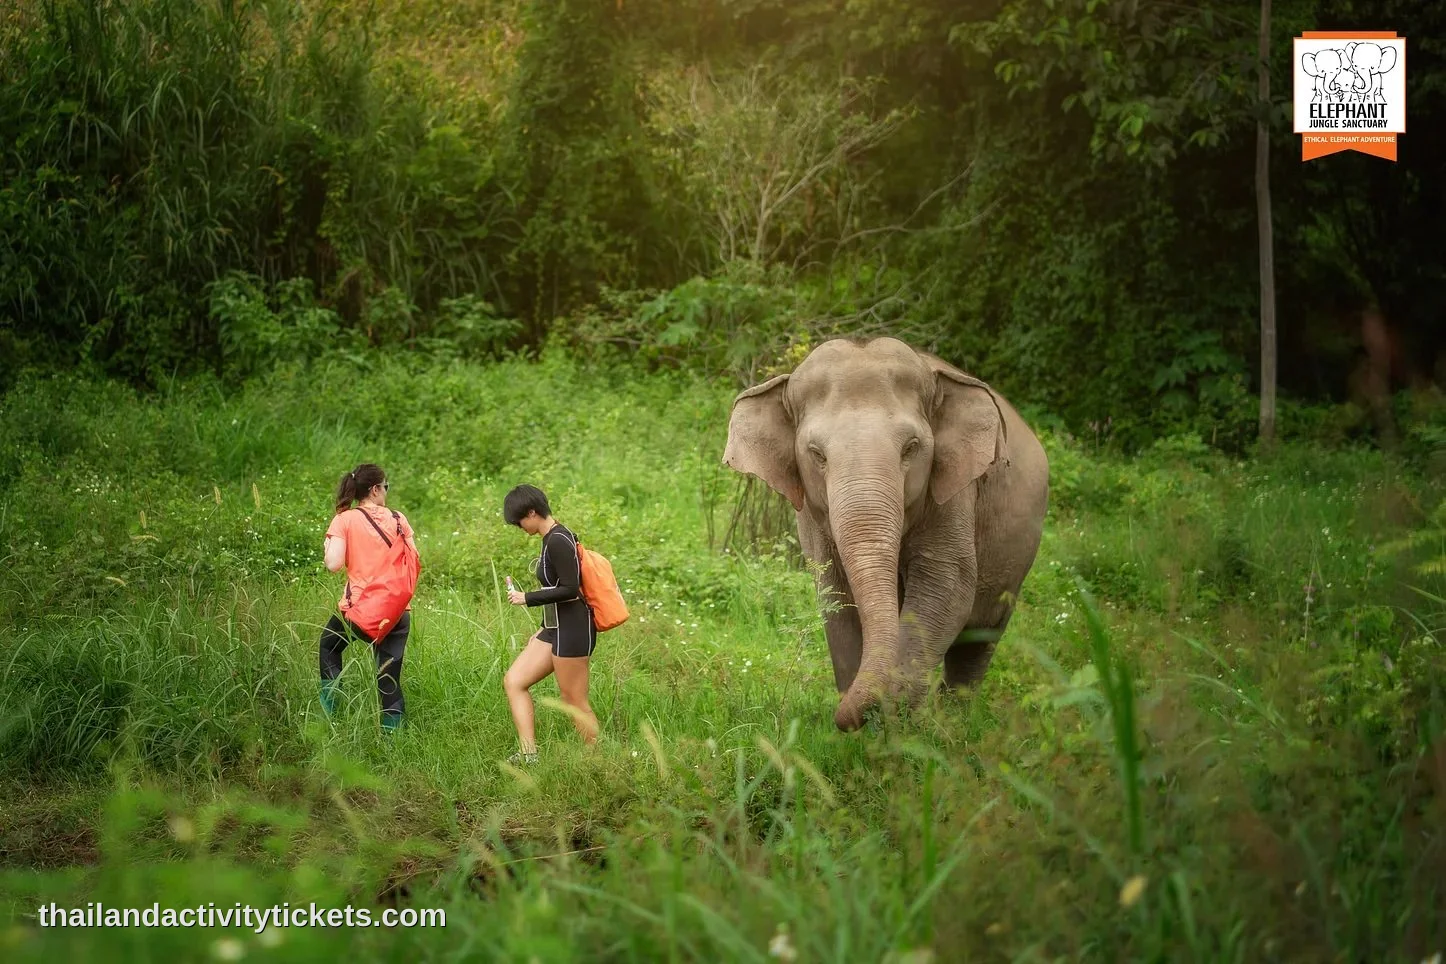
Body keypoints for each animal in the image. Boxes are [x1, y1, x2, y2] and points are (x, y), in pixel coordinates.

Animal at [723, 337, 1049, 731]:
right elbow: (836, 597)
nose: (838, 718)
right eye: (817, 454)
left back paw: (955, 724)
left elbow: (947, 587)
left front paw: (901, 723)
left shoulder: (954, 495)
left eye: (911, 447)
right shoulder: (812, 518)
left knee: (978, 640)